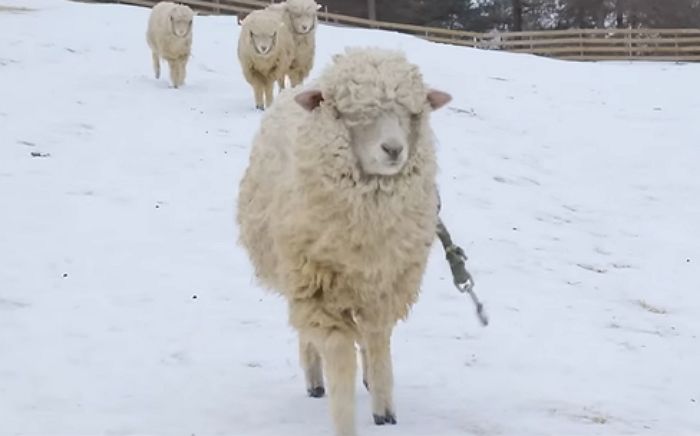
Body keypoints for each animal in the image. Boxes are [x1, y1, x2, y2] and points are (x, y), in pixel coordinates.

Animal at [237, 46, 454, 434]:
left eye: (412, 112)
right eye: (348, 112)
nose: (393, 149)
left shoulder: (386, 284)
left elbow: (378, 339)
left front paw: (384, 409)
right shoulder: (316, 289)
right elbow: (338, 355)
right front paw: (345, 421)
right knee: (308, 336)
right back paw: (314, 380)